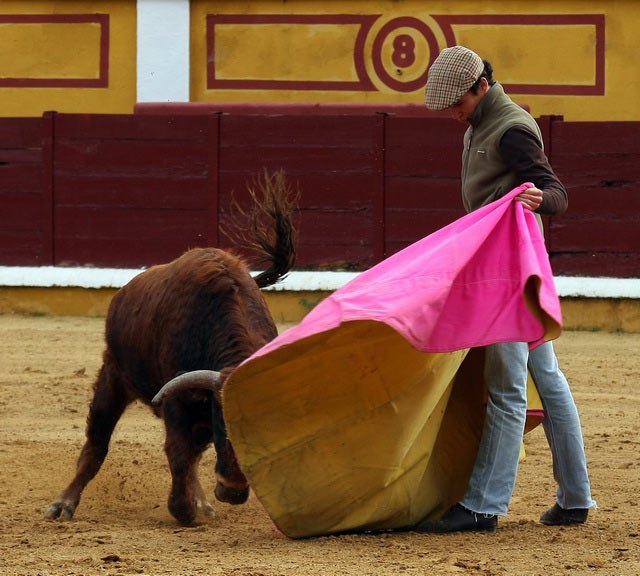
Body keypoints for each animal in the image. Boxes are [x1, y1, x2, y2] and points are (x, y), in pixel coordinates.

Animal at [45, 169, 298, 524]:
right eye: (224, 421)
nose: (233, 492)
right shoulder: (179, 402)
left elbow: (190, 456)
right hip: (113, 376)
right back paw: (63, 504)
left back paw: (203, 502)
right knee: (97, 443)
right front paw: (183, 510)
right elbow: (178, 453)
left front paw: (195, 505)